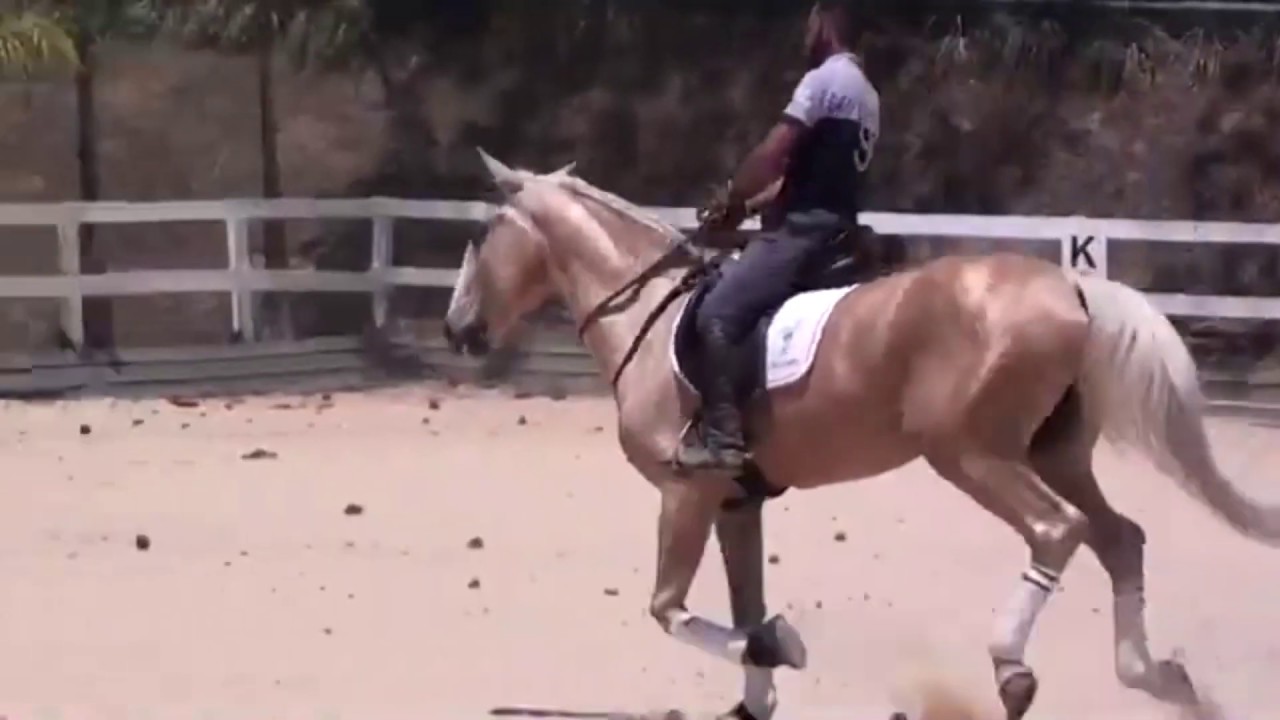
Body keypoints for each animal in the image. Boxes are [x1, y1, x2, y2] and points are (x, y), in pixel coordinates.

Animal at [442, 149, 1280, 720]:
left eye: (481, 235)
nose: (459, 331)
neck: (651, 316)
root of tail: (1070, 284)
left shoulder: (687, 492)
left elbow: (670, 609)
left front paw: (782, 648)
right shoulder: (736, 503)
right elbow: (743, 607)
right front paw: (757, 691)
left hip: (971, 454)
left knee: (1058, 530)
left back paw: (1012, 668)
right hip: (1055, 451)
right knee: (1118, 537)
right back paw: (1154, 675)